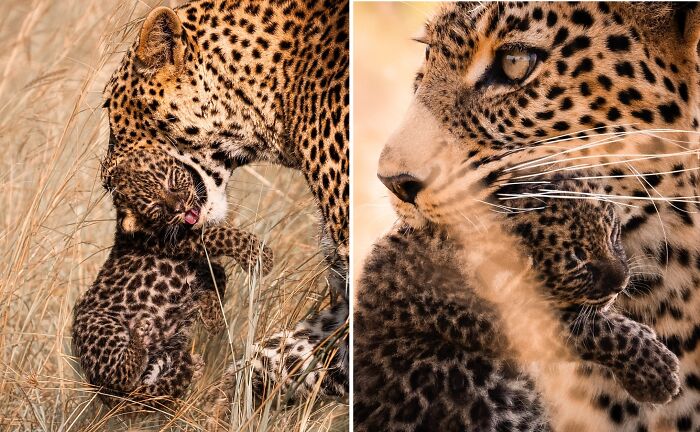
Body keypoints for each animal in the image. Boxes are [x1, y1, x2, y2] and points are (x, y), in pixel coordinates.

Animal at [72, 144, 273, 408]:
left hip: (166, 351)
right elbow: (220, 234)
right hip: (103, 330)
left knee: (149, 388)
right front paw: (259, 254)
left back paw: (190, 368)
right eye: (157, 207)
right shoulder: (180, 241)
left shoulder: (195, 260)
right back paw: (140, 337)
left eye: (171, 181)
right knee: (124, 374)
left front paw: (213, 317)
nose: (181, 208)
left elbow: (216, 274)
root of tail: (103, 392)